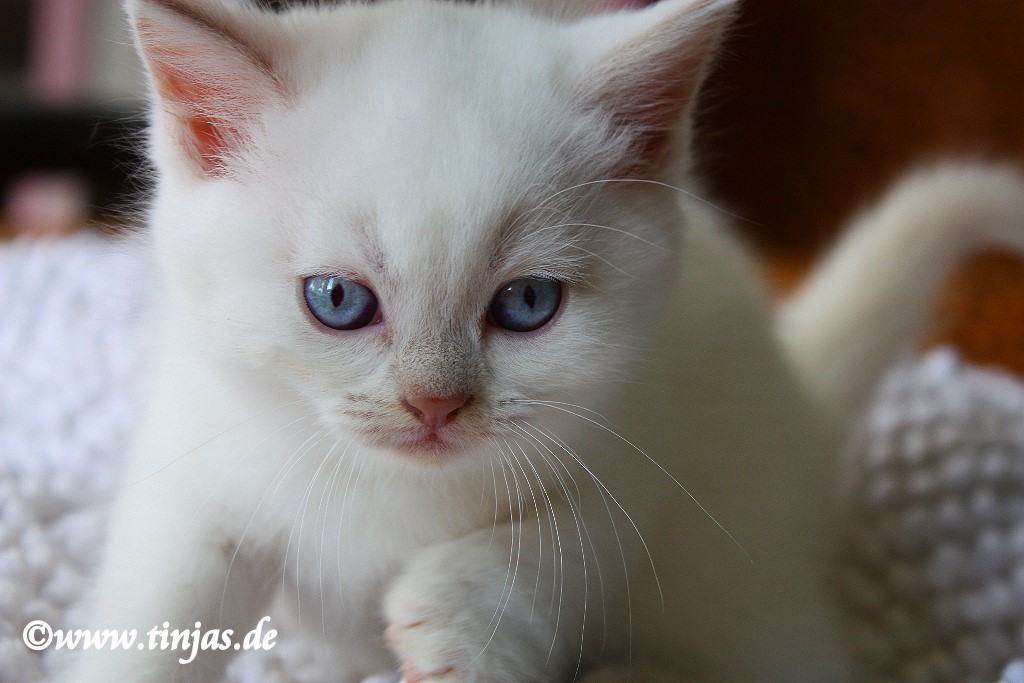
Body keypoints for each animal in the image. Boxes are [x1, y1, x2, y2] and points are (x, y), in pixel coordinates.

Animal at [61, 0, 1024, 679]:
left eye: (526, 303)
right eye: (337, 300)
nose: (433, 404)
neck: (399, 489)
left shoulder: (640, 437)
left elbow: (562, 539)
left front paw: (455, 622)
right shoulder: (200, 453)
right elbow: (159, 603)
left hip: (742, 587)